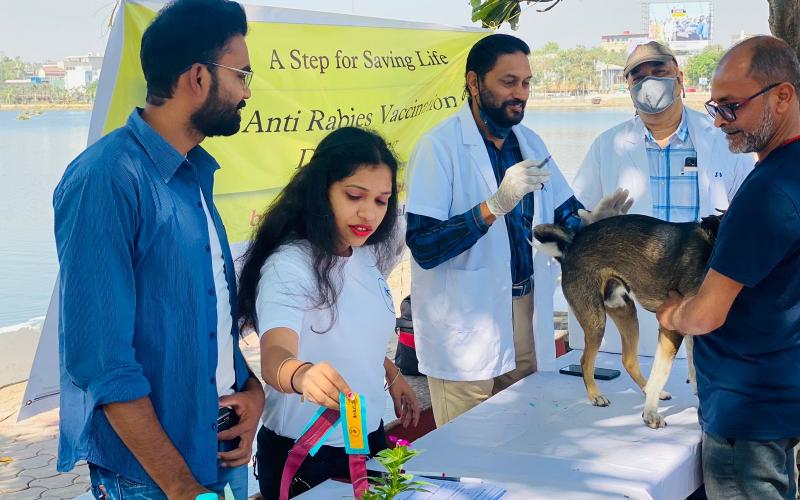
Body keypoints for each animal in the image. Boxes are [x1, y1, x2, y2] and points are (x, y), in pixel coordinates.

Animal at [536, 213, 720, 428]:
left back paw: (645, 388)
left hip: (626, 311)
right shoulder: (670, 326)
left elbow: (693, 368)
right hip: (596, 321)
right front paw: (650, 414)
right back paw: (595, 395)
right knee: (585, 360)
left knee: (629, 359)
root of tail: (573, 242)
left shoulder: (691, 326)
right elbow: (661, 372)